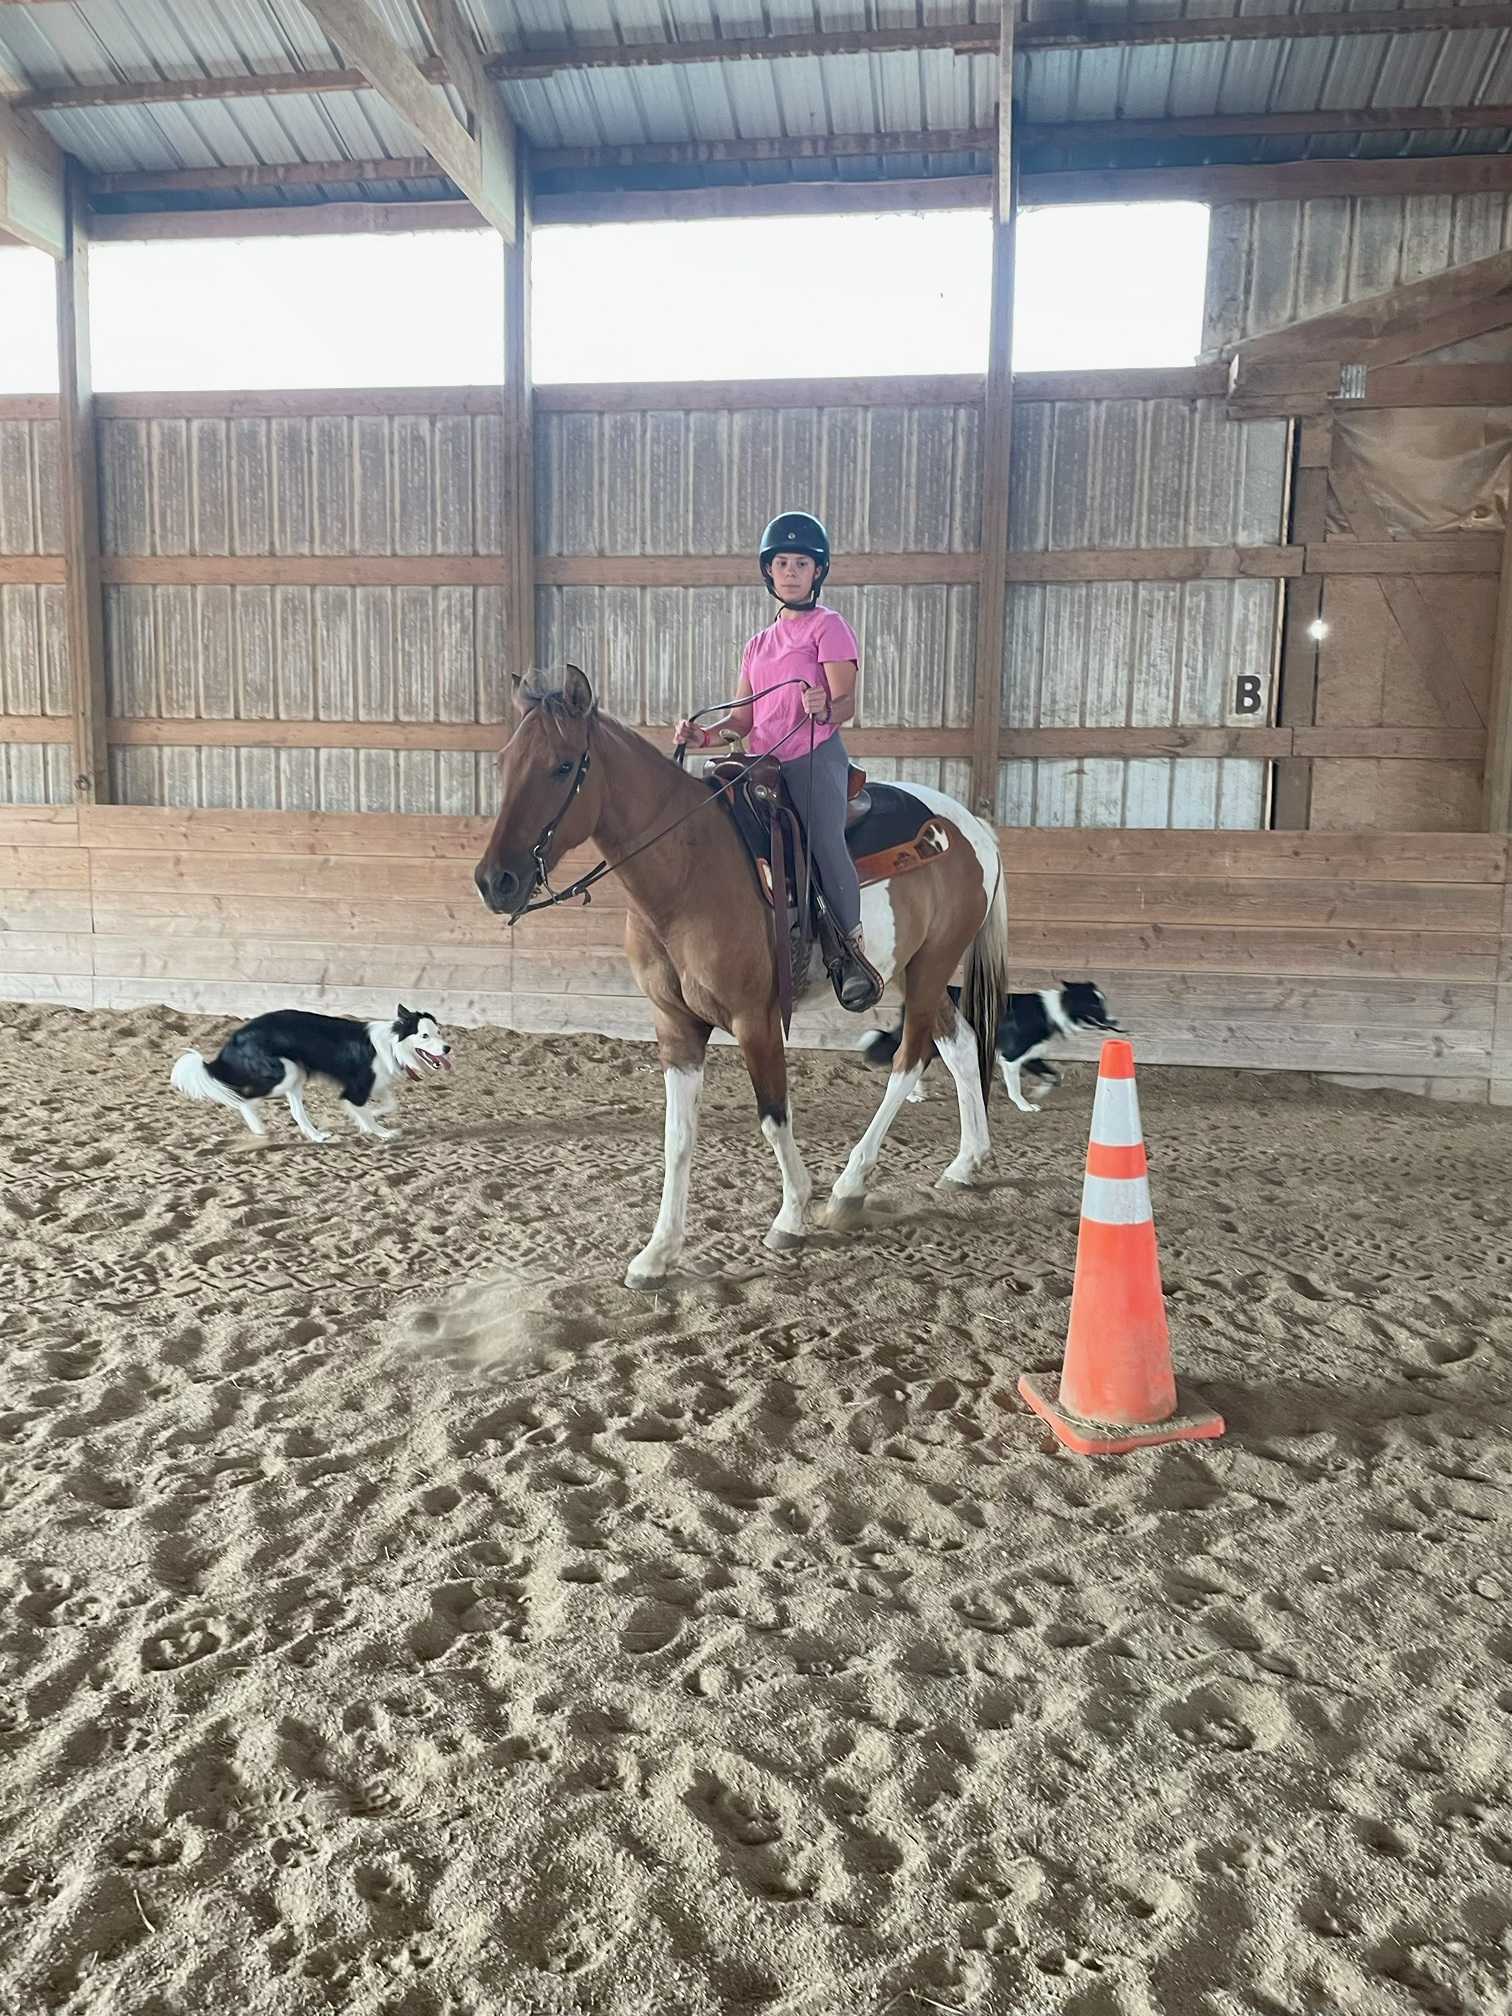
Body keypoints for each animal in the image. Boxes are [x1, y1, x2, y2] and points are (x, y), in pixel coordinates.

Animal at [170, 1005, 451, 1143]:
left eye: (438, 1032)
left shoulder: (376, 1082)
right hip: (283, 1073)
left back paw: (316, 1136)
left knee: (296, 1112)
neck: (394, 1044)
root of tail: (234, 1039)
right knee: (244, 1099)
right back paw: (259, 1129)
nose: (448, 1048)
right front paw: (381, 1131)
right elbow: (364, 1111)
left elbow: (391, 1103)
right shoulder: (355, 1088)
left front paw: (373, 1114)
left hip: (295, 1076)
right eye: (424, 1036)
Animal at [474, 665, 1010, 1289]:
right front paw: (656, 1253)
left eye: (563, 766)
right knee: (960, 1043)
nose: (495, 881)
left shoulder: (756, 1020)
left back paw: (849, 1188)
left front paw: (791, 1217)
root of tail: (972, 827)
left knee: (910, 1059)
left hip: (929, 968)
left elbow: (774, 1117)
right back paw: (967, 1163)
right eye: (504, 762)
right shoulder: (675, 1025)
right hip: (910, 969)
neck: (688, 870)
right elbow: (677, 1138)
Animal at [858, 982, 1121, 1113]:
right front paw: (1025, 1105)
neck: (1053, 1010)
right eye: (1095, 1005)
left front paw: (1038, 1093)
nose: (1116, 1021)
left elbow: (1054, 1076)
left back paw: (916, 1092)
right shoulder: (1011, 1058)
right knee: (901, 1057)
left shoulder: (1030, 1056)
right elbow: (1015, 1088)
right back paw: (912, 1094)